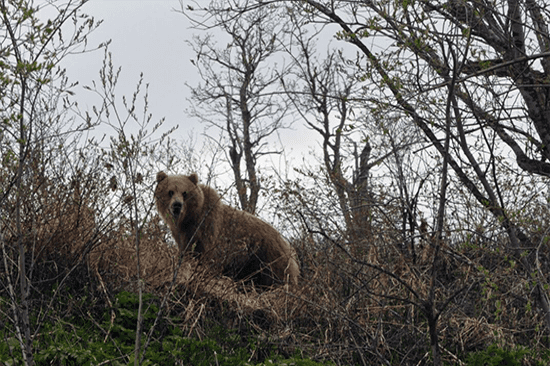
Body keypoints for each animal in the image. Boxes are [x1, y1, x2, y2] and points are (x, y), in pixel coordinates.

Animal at [155, 172, 300, 288]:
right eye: (170, 191)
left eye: (185, 192)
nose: (177, 205)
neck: (190, 219)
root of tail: (288, 245)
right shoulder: (183, 235)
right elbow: (187, 253)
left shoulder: (209, 229)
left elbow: (209, 258)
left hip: (269, 257)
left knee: (278, 278)